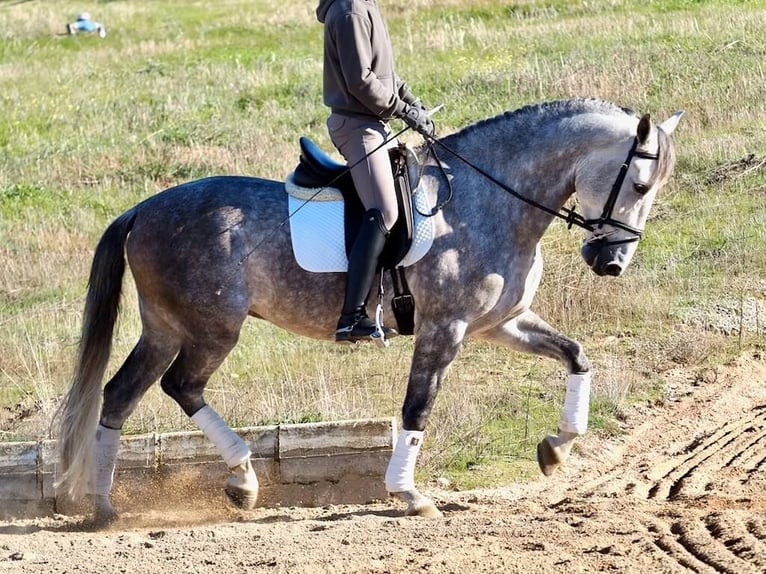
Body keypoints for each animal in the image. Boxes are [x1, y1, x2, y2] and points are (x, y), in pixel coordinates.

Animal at [56, 98, 683, 525]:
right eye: (640, 184)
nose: (611, 263)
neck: (490, 201)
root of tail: (142, 209)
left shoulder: (499, 323)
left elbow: (577, 356)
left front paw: (556, 449)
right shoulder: (445, 328)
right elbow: (417, 408)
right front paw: (408, 494)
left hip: (165, 328)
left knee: (120, 394)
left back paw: (105, 505)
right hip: (212, 330)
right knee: (181, 386)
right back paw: (241, 481)